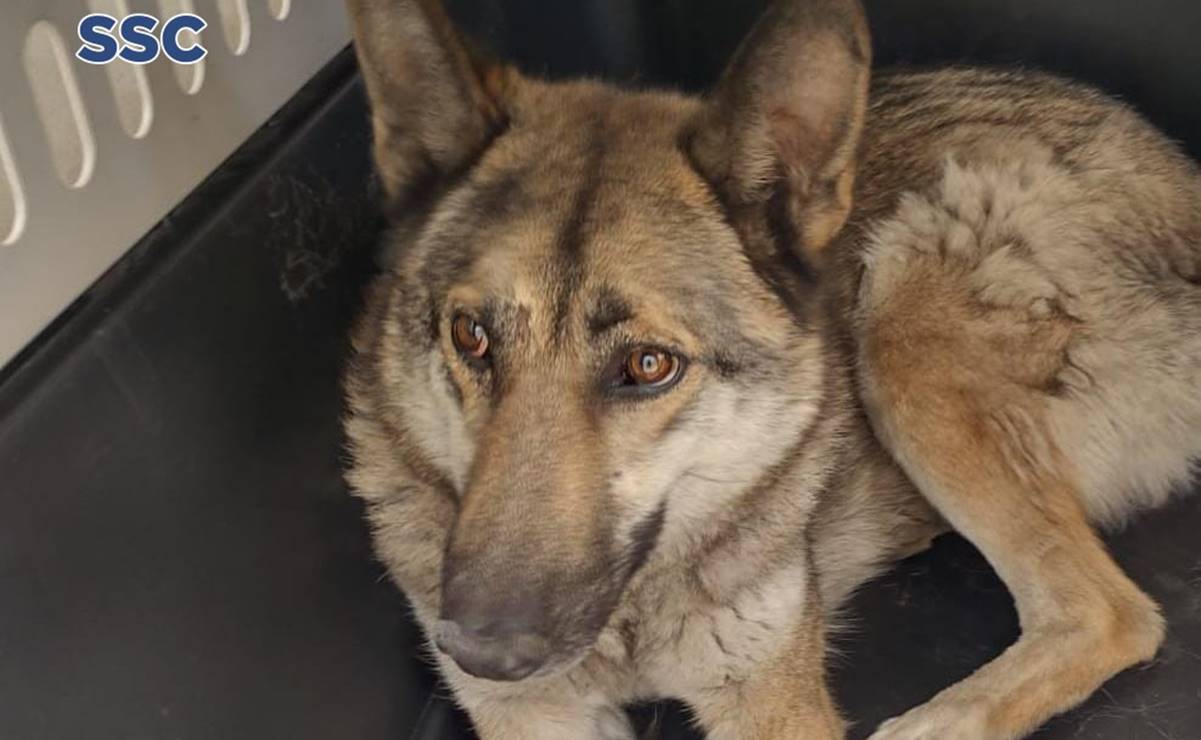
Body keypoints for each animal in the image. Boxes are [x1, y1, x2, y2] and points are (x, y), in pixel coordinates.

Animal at [338, 0, 1201, 735]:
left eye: (648, 365)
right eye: (471, 337)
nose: (483, 648)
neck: (633, 616)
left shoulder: (765, 698)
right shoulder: (531, 716)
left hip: (902, 314)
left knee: (1105, 612)